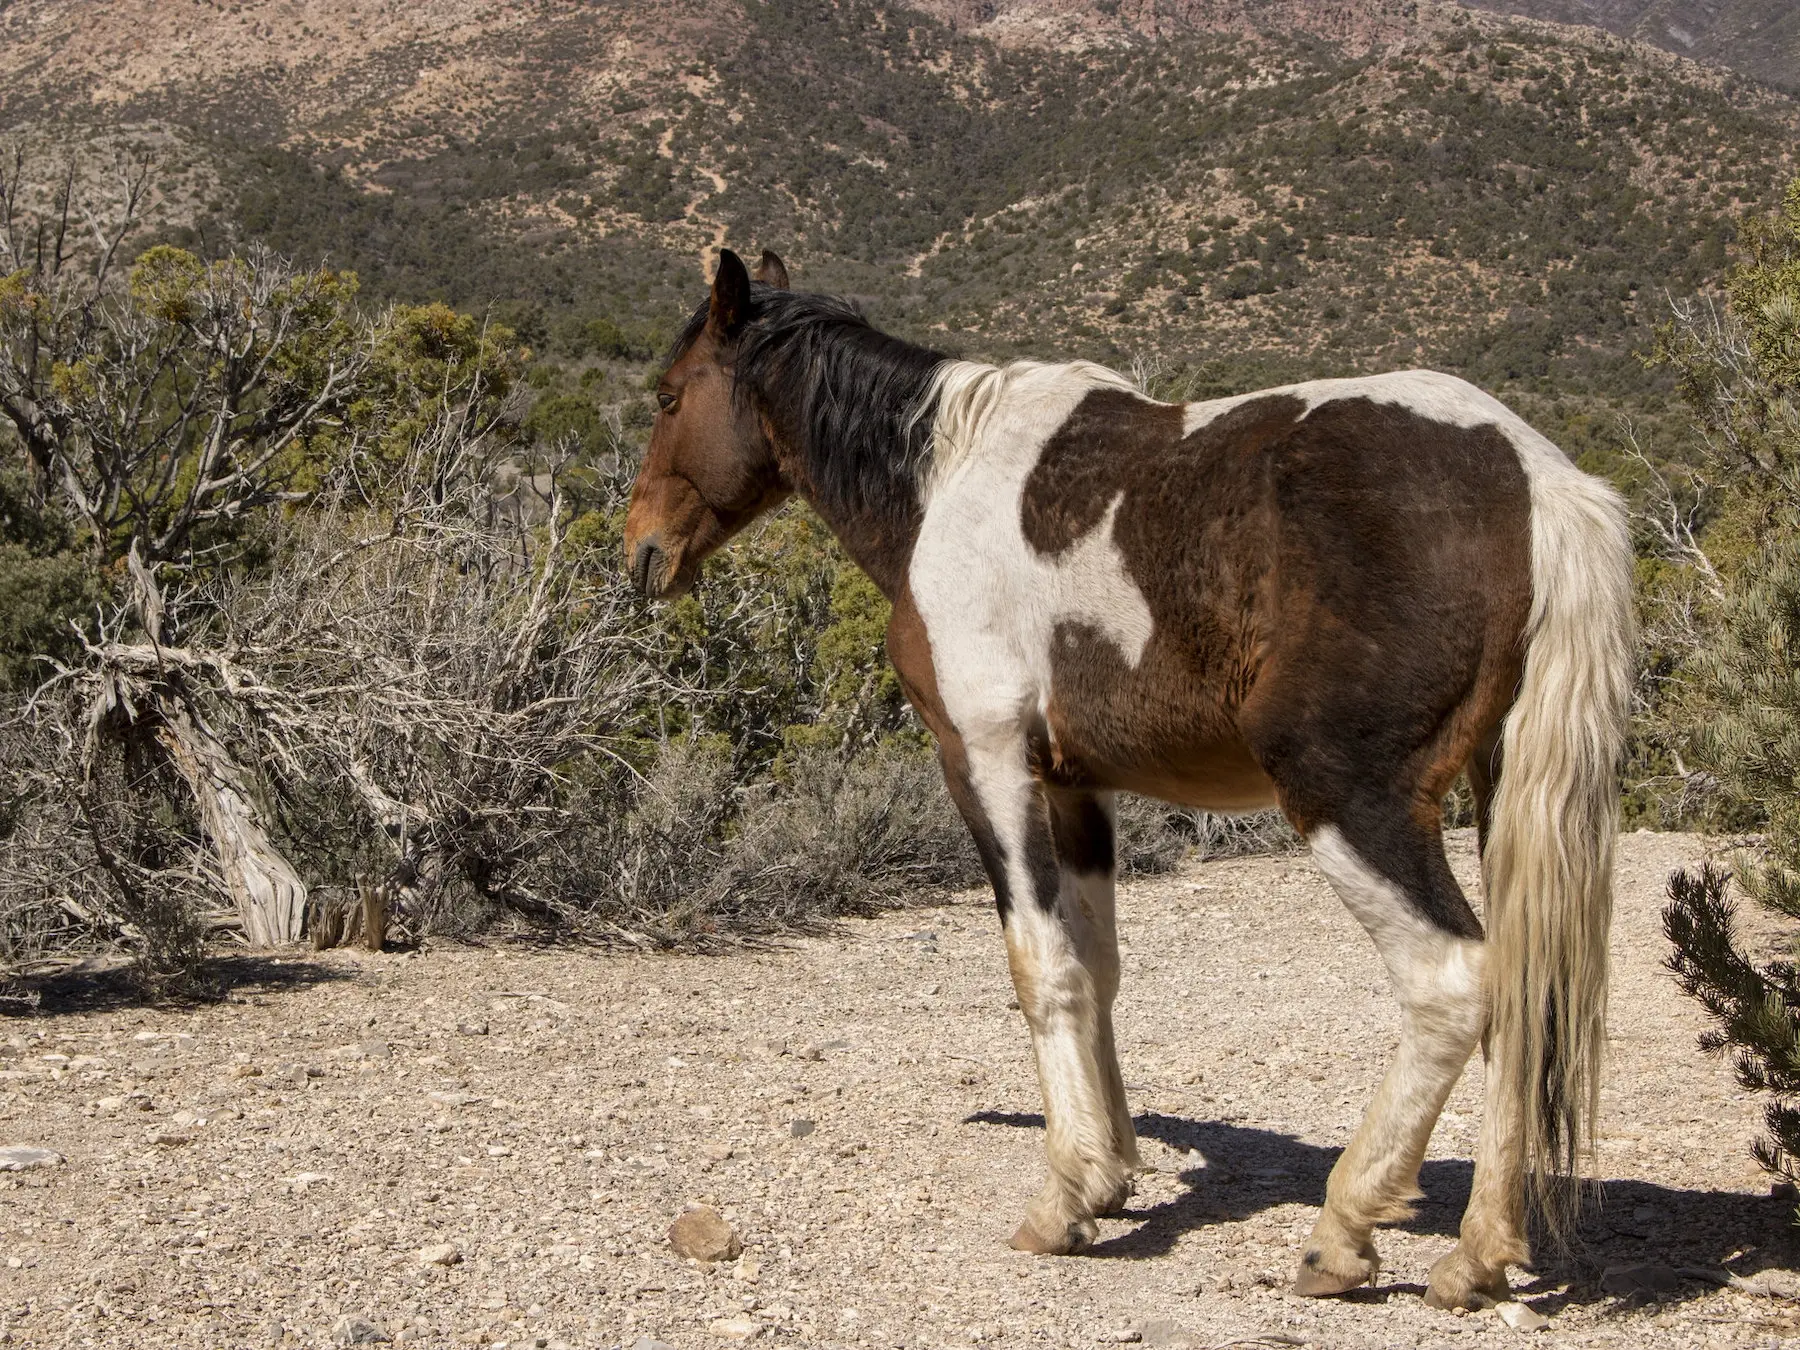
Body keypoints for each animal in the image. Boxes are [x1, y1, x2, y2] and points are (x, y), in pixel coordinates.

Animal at [626, 248, 1641, 1317]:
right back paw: (1479, 1251)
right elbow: (1099, 967)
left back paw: (1344, 1233)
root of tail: (1537, 481)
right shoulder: (1078, 788)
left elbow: (1041, 966)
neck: (946, 483)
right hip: (1496, 793)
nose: (641, 550)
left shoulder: (987, 762)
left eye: (668, 397)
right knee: (1523, 996)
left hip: (1350, 803)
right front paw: (1111, 1171)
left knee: (1451, 984)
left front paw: (1066, 1199)